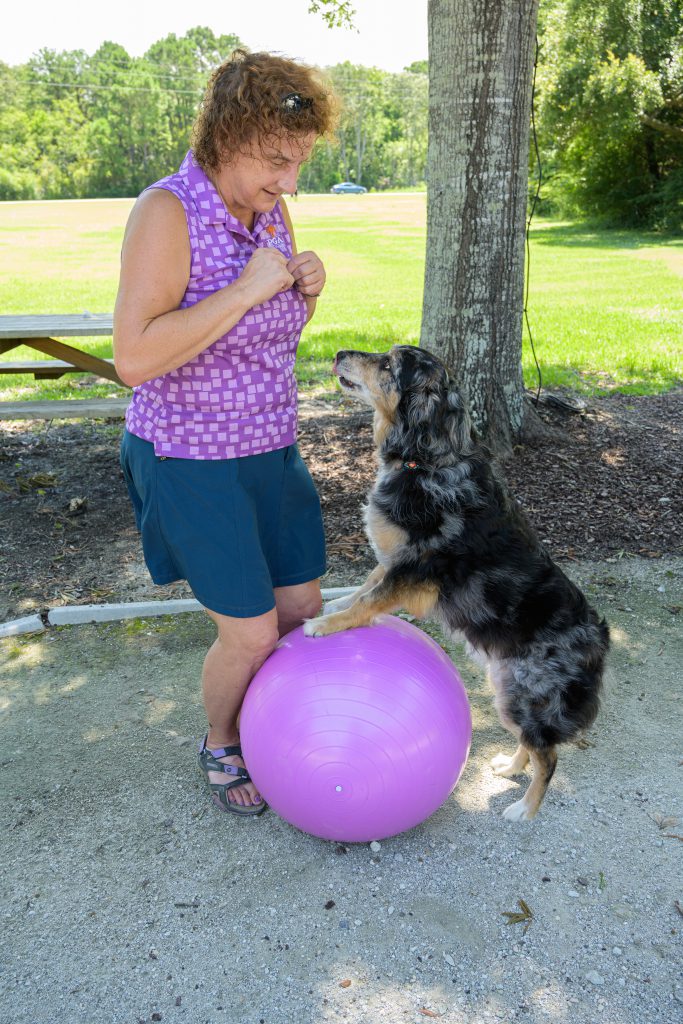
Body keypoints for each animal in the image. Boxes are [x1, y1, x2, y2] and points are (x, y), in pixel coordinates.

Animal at [305, 348, 610, 819]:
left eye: (389, 365)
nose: (339, 354)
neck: (427, 460)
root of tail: (599, 640)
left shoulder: (417, 567)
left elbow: (370, 599)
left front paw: (327, 624)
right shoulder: (396, 560)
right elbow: (367, 585)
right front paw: (337, 607)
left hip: (527, 696)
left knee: (548, 754)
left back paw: (525, 808)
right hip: (506, 690)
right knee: (531, 744)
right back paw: (509, 767)